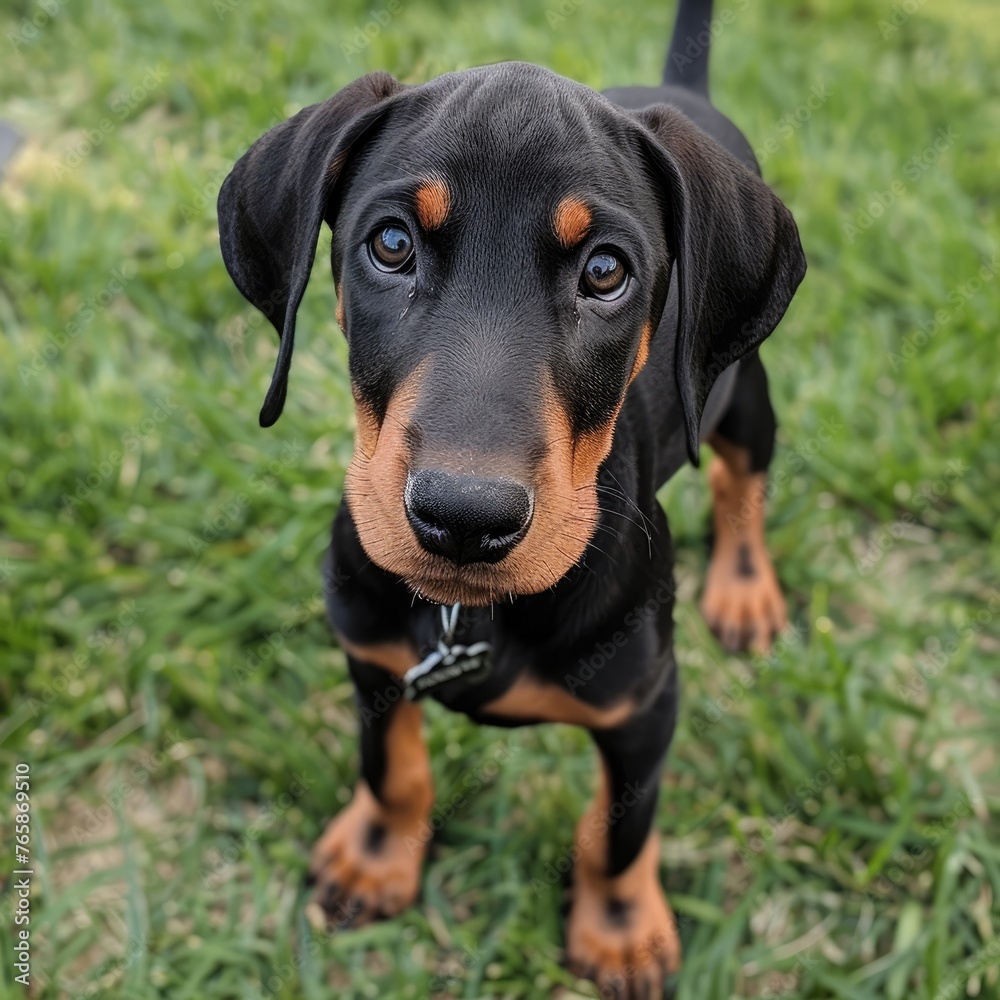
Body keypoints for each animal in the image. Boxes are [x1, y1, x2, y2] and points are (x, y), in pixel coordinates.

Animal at [217, 1, 804, 992]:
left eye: (606, 271)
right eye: (391, 245)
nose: (463, 518)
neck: (473, 619)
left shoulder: (645, 707)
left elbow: (621, 830)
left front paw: (620, 932)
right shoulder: (370, 653)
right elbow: (392, 769)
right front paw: (375, 858)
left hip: (742, 391)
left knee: (741, 478)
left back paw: (744, 587)